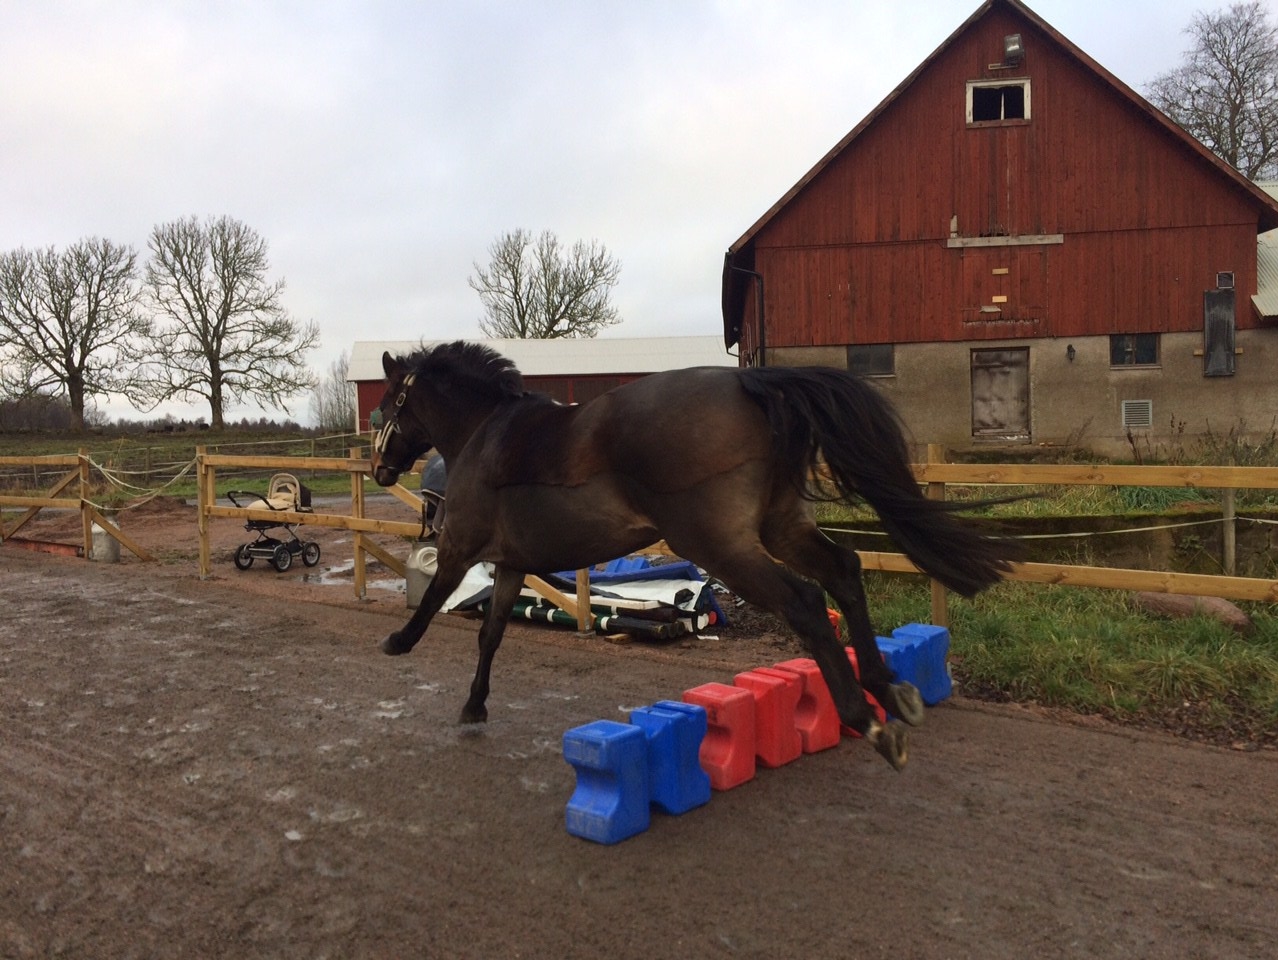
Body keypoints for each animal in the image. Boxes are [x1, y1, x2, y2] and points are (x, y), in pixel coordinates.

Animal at [369, 340, 1016, 769]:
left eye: (389, 404)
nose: (379, 468)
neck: (486, 432)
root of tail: (751, 386)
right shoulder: (510, 563)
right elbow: (492, 633)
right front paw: (475, 704)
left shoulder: (462, 545)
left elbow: (435, 597)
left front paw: (399, 642)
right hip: (779, 527)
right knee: (844, 572)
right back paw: (888, 688)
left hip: (720, 544)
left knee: (806, 602)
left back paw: (865, 717)